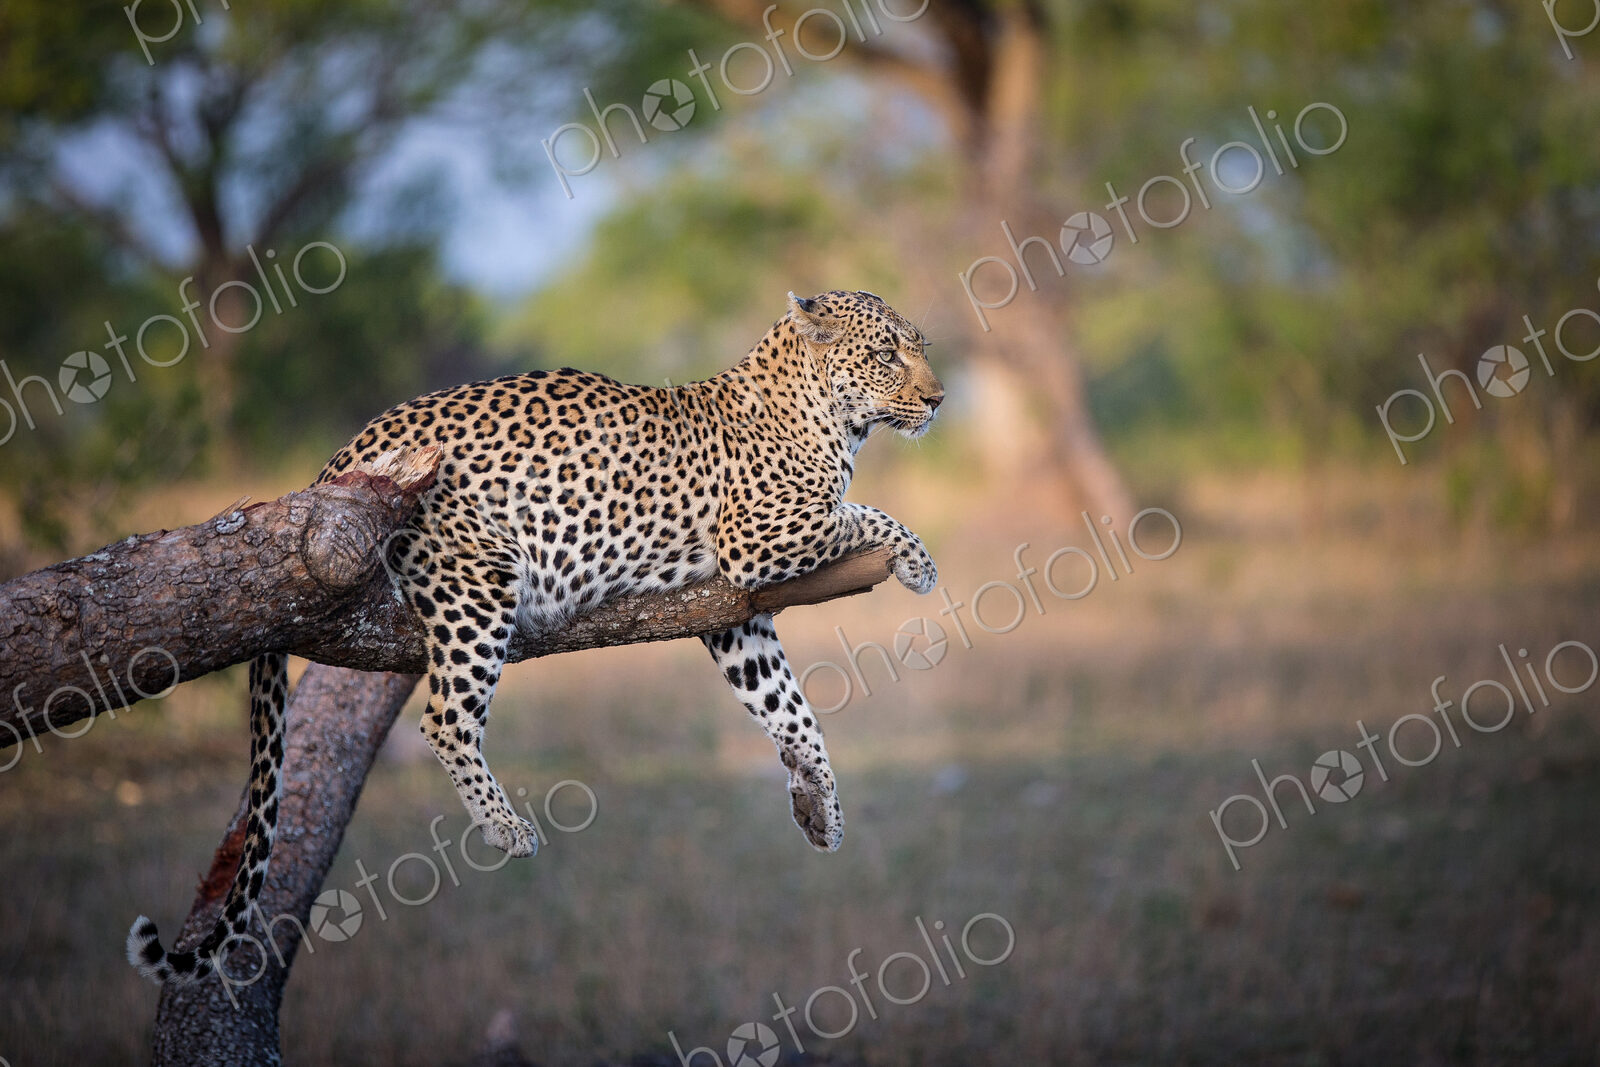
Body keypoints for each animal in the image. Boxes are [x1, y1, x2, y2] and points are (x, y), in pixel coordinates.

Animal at [128, 289, 943, 985]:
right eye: (887, 355)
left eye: (921, 349)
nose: (937, 400)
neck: (827, 418)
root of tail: (340, 457)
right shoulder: (759, 539)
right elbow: (868, 511)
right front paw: (920, 563)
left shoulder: (735, 612)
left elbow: (790, 710)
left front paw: (818, 806)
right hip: (477, 580)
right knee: (443, 717)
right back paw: (505, 827)